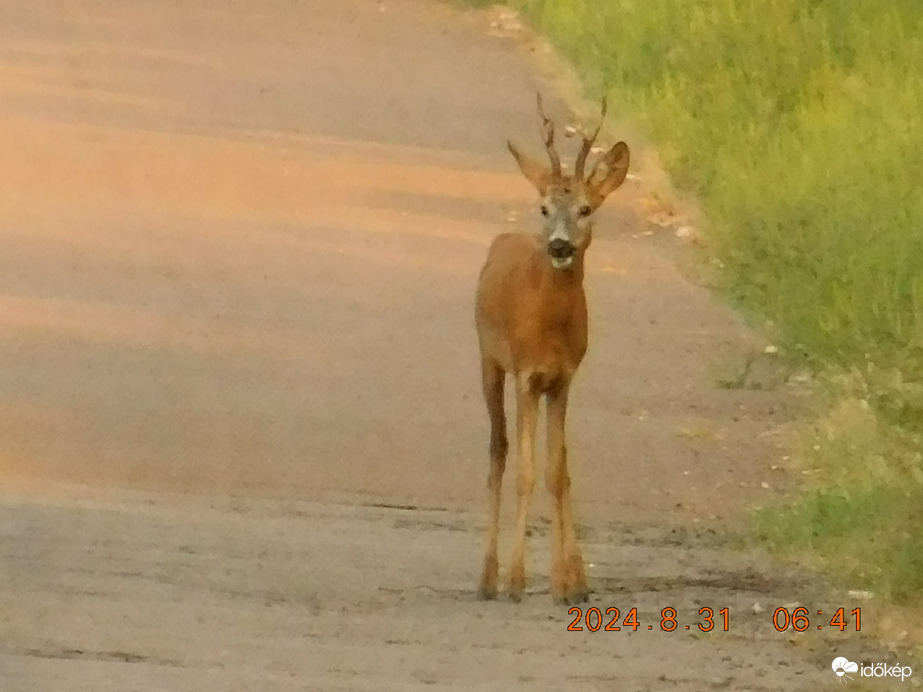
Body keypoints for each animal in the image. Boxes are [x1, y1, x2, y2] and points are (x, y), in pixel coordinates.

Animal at [472, 94, 632, 604]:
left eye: (585, 208)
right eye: (544, 207)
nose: (560, 246)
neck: (550, 327)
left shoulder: (563, 378)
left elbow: (559, 471)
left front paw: (570, 583)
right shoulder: (526, 374)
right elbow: (526, 471)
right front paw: (517, 580)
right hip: (489, 361)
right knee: (499, 451)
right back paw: (488, 577)